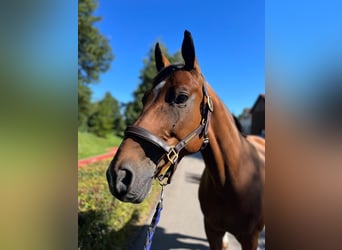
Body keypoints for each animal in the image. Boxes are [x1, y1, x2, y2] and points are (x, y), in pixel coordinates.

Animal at [106, 31, 264, 250]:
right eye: (144, 99)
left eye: (181, 97)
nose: (118, 175)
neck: (231, 182)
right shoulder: (212, 231)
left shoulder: (250, 238)